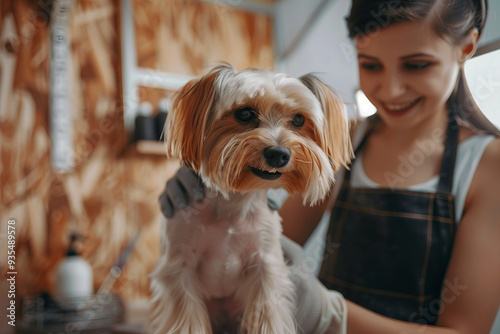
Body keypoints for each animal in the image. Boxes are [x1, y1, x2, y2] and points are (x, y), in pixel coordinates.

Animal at [150, 64, 350, 332]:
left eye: (298, 119)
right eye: (244, 113)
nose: (279, 154)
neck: (233, 204)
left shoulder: (266, 267)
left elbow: (268, 317)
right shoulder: (178, 268)